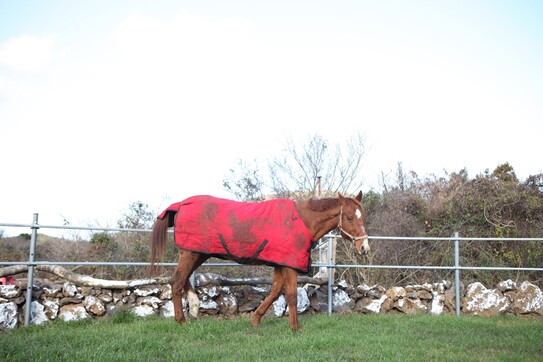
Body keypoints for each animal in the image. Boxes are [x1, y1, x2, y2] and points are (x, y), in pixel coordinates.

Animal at [151, 192, 368, 330]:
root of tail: (181, 204)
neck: (302, 220)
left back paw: (194, 307)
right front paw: (295, 328)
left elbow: (274, 292)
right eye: (349, 217)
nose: (364, 247)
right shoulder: (289, 266)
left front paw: (255, 321)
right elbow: (291, 295)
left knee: (183, 279)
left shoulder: (280, 264)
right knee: (177, 281)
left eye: (362, 217)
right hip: (190, 253)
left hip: (198, 253)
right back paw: (182, 320)